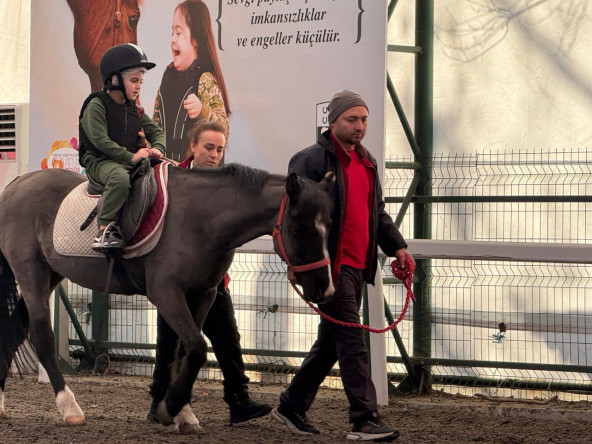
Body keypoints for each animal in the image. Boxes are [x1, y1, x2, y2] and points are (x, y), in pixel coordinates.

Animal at [0, 164, 336, 434]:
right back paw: (70, 407)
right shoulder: (167, 293)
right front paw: (170, 407)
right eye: (299, 227)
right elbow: (196, 348)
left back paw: (1, 402)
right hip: (32, 275)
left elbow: (181, 352)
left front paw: (181, 412)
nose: (325, 289)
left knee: (14, 331)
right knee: (40, 335)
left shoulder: (202, 294)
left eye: (329, 227)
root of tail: (16, 184)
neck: (200, 218)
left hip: (50, 274)